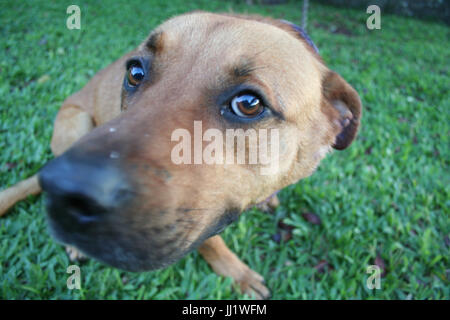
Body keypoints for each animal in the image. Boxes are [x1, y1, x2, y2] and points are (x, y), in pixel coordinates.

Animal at [0, 11, 360, 298]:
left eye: (248, 104)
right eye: (135, 73)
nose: (64, 193)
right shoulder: (200, 216)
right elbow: (210, 240)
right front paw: (236, 273)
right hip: (75, 123)